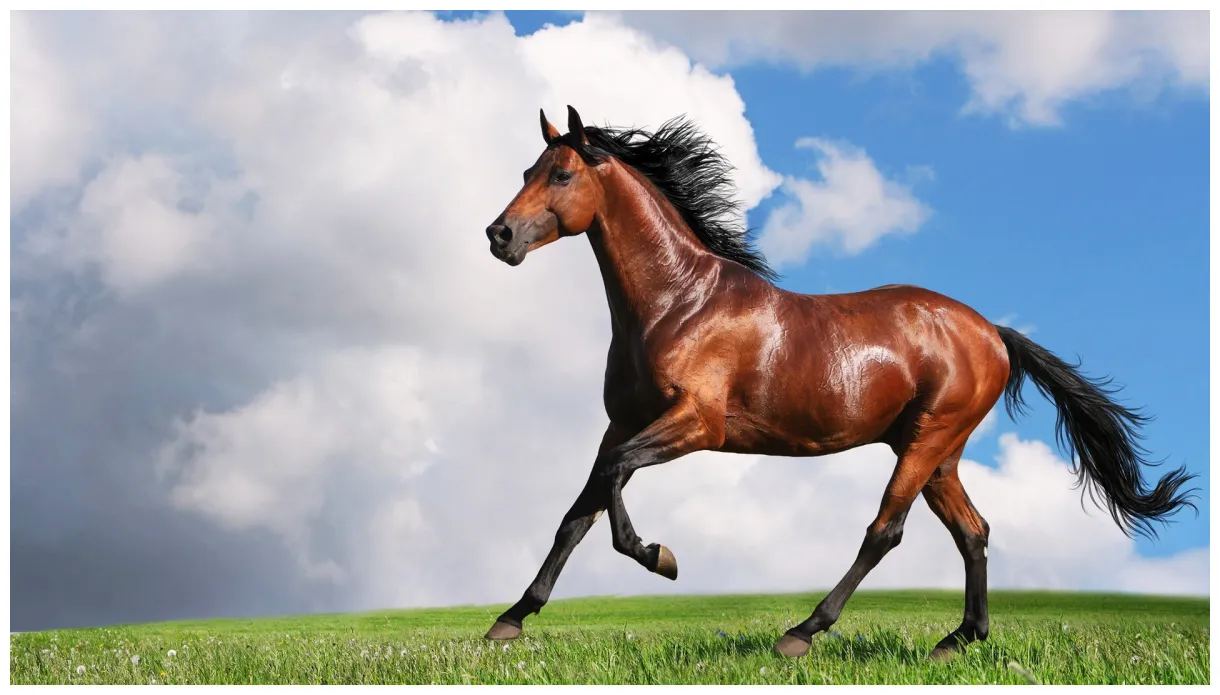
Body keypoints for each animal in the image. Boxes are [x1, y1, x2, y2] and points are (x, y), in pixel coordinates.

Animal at [480, 106, 1197, 660]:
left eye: (562, 173)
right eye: (526, 172)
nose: (498, 234)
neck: (677, 303)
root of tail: (992, 332)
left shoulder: (695, 424)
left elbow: (613, 486)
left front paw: (661, 555)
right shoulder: (621, 422)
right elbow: (579, 511)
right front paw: (509, 620)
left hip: (927, 441)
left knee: (886, 529)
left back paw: (802, 632)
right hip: (939, 452)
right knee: (973, 531)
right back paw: (957, 640)